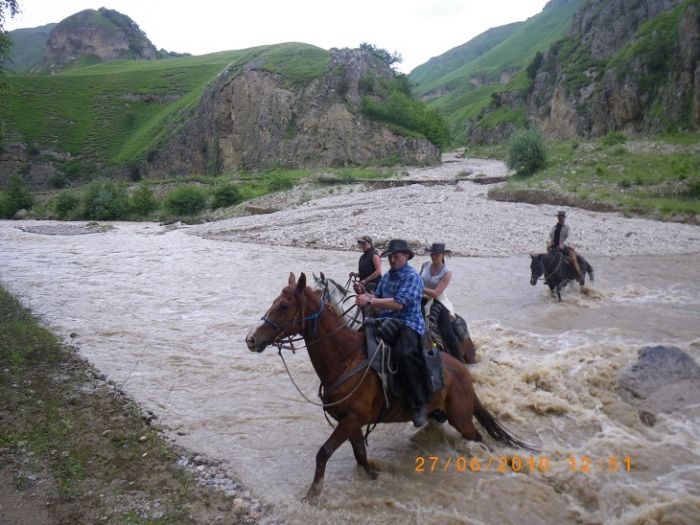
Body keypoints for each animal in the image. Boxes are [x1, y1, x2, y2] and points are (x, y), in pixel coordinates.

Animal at [246, 272, 536, 502]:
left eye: (284, 306)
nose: (251, 339)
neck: (346, 358)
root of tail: (462, 373)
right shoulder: (351, 422)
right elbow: (361, 456)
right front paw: (375, 476)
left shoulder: (351, 419)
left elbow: (323, 453)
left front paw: (312, 496)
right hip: (440, 415)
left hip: (462, 419)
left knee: (480, 440)